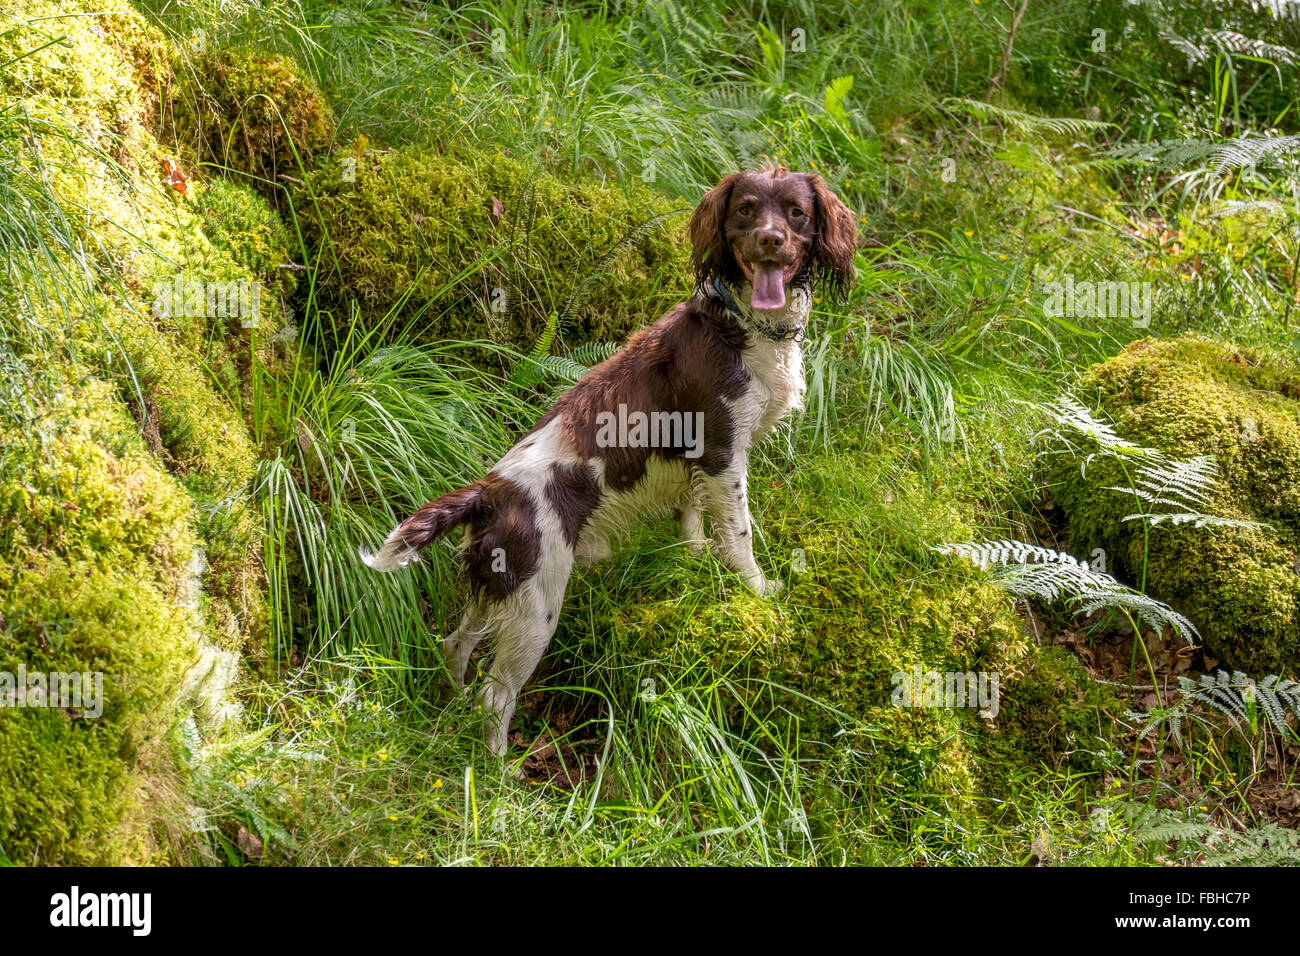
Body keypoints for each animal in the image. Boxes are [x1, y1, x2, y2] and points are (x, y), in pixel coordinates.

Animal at [361, 167, 857, 759]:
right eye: (746, 210)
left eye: (796, 213)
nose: (770, 240)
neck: (746, 326)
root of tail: (488, 493)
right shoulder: (723, 451)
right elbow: (739, 534)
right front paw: (759, 590)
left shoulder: (700, 462)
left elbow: (694, 516)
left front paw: (694, 558)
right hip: (537, 606)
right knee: (495, 697)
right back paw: (500, 768)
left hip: (497, 590)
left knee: (454, 645)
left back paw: (452, 711)